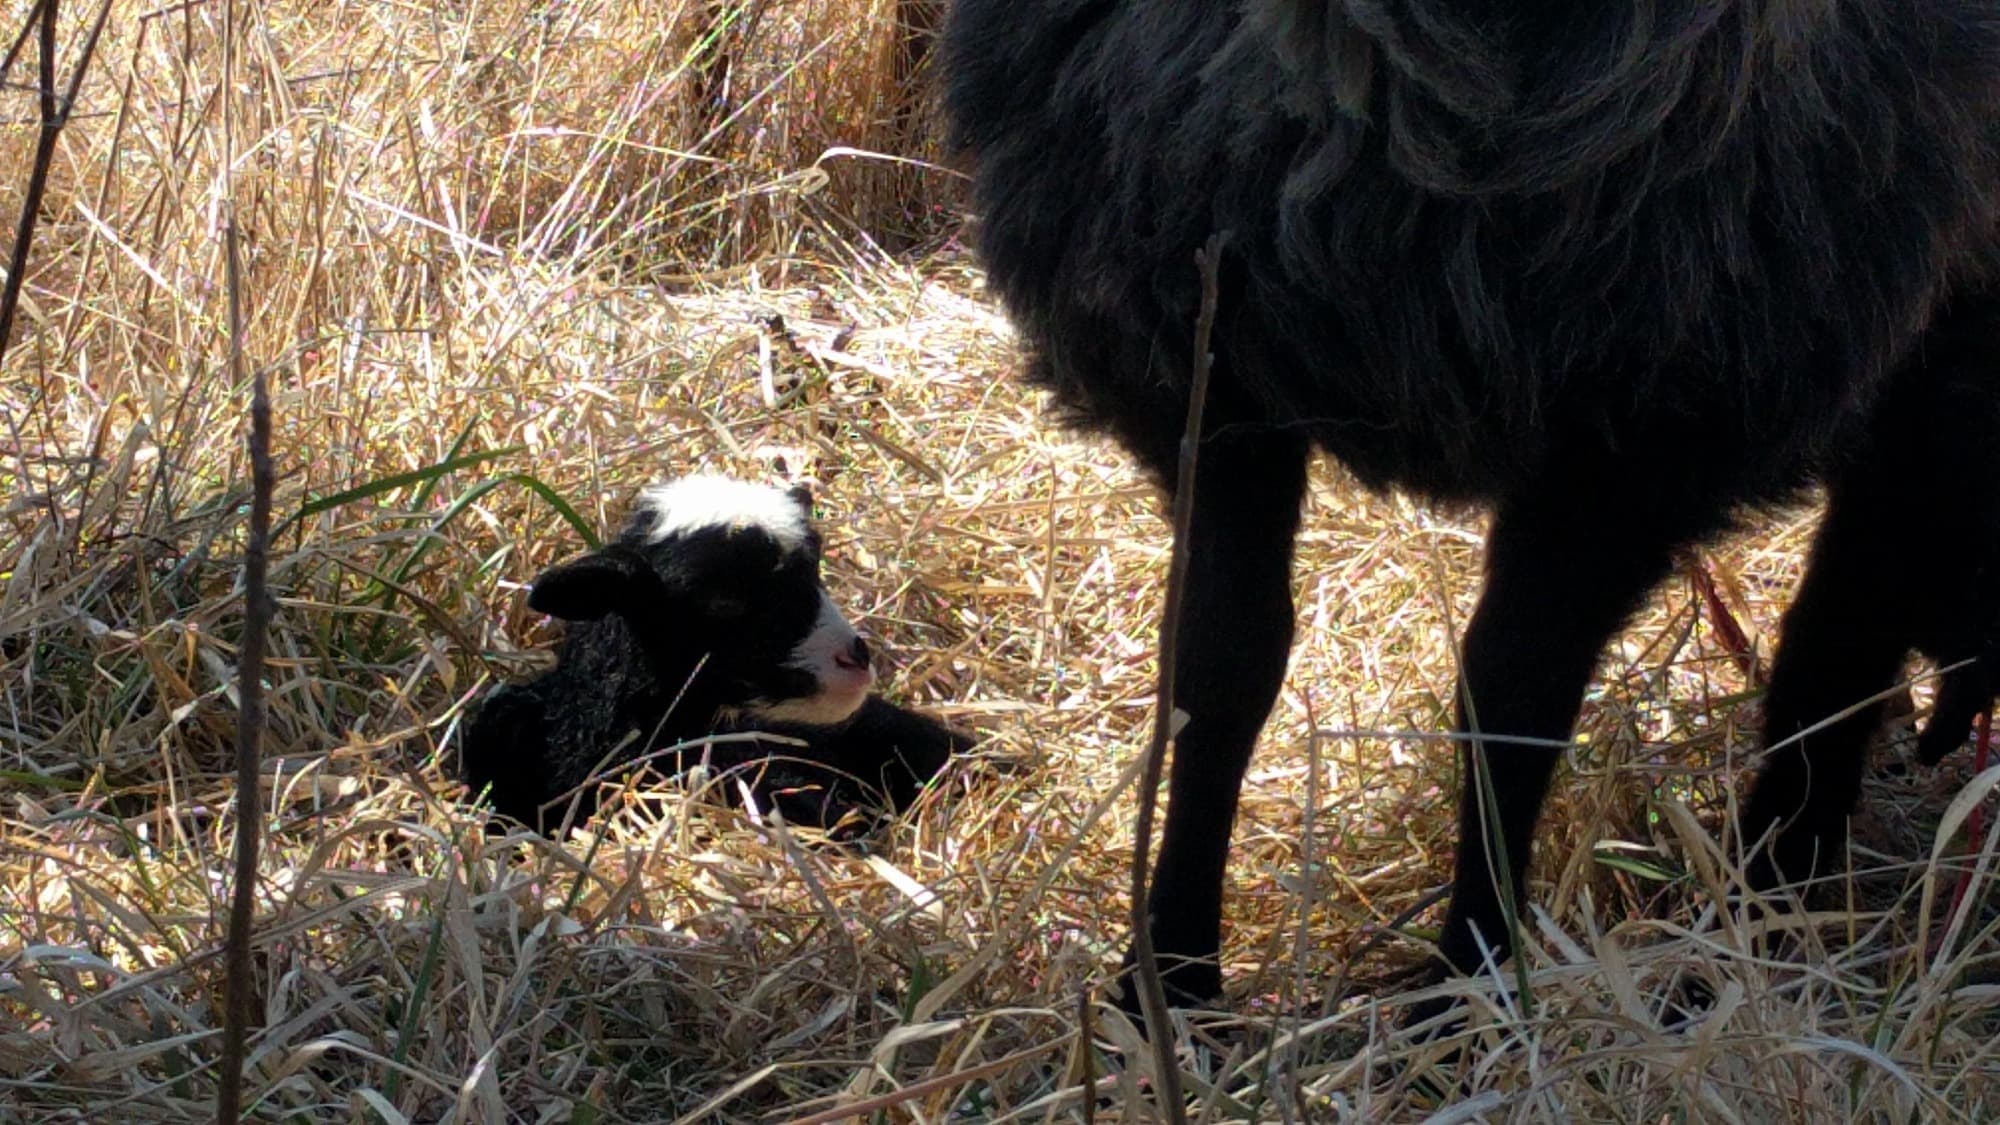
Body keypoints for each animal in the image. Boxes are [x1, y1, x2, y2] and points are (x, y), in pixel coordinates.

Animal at [941, 0, 2000, 1012]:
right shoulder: (1212, 369)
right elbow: (1218, 665)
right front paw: (1169, 985)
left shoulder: (1637, 428)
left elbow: (1511, 701)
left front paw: (1471, 985)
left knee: (1848, 612)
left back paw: (1768, 901)